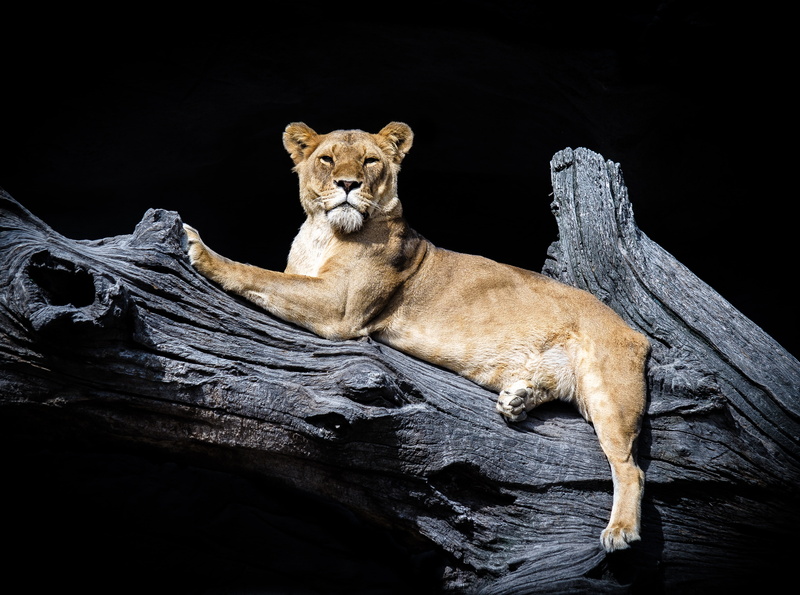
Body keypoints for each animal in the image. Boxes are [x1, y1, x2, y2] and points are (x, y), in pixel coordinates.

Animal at [184, 122, 650, 552]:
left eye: (370, 161)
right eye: (328, 159)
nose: (348, 185)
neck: (322, 234)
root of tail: (633, 330)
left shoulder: (340, 308)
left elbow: (260, 274)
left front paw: (202, 251)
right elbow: (275, 278)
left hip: (609, 392)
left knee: (631, 468)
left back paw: (621, 530)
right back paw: (518, 399)